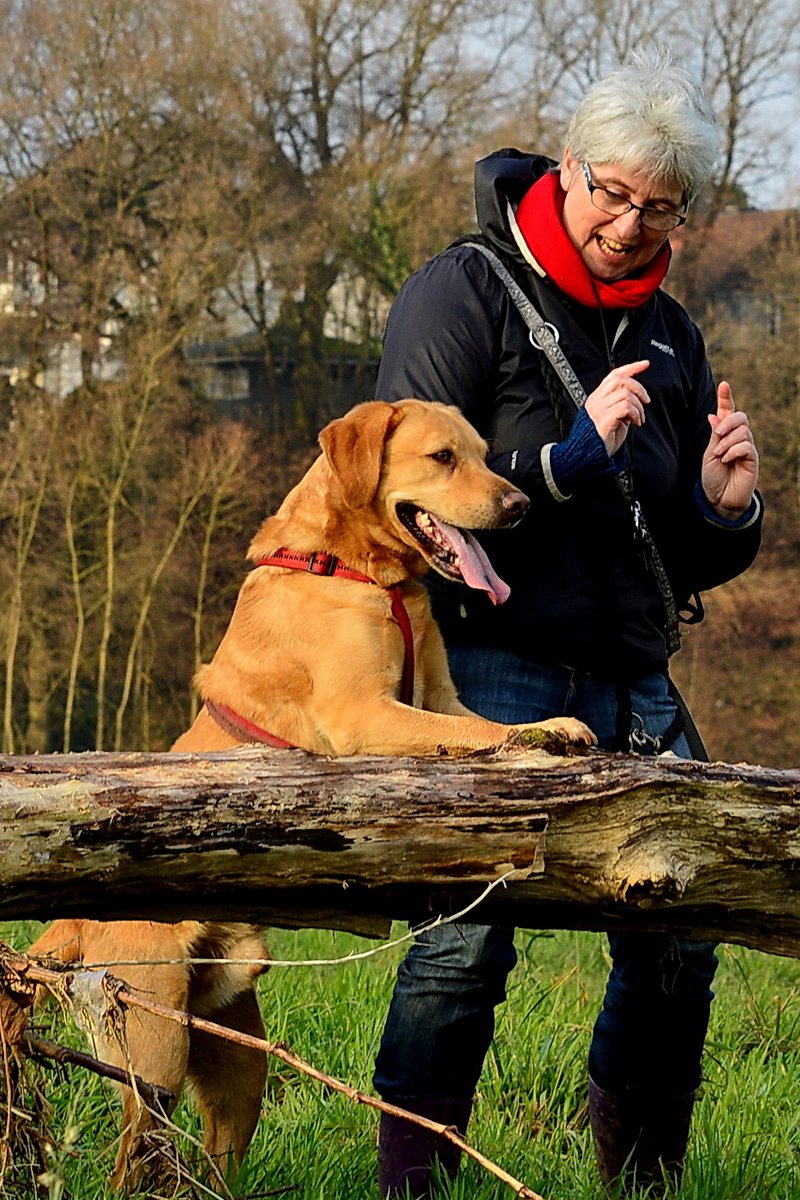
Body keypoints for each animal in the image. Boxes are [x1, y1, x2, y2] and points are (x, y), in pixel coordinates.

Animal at [29, 396, 594, 1190]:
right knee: (132, 1159)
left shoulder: (437, 694)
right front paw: (537, 744)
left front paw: (553, 729)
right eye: (442, 457)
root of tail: (74, 923)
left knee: (214, 1157)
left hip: (238, 1062)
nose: (518, 505)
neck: (362, 571)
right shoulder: (366, 714)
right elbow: (478, 733)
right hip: (152, 1046)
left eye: (485, 454)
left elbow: (485, 720)